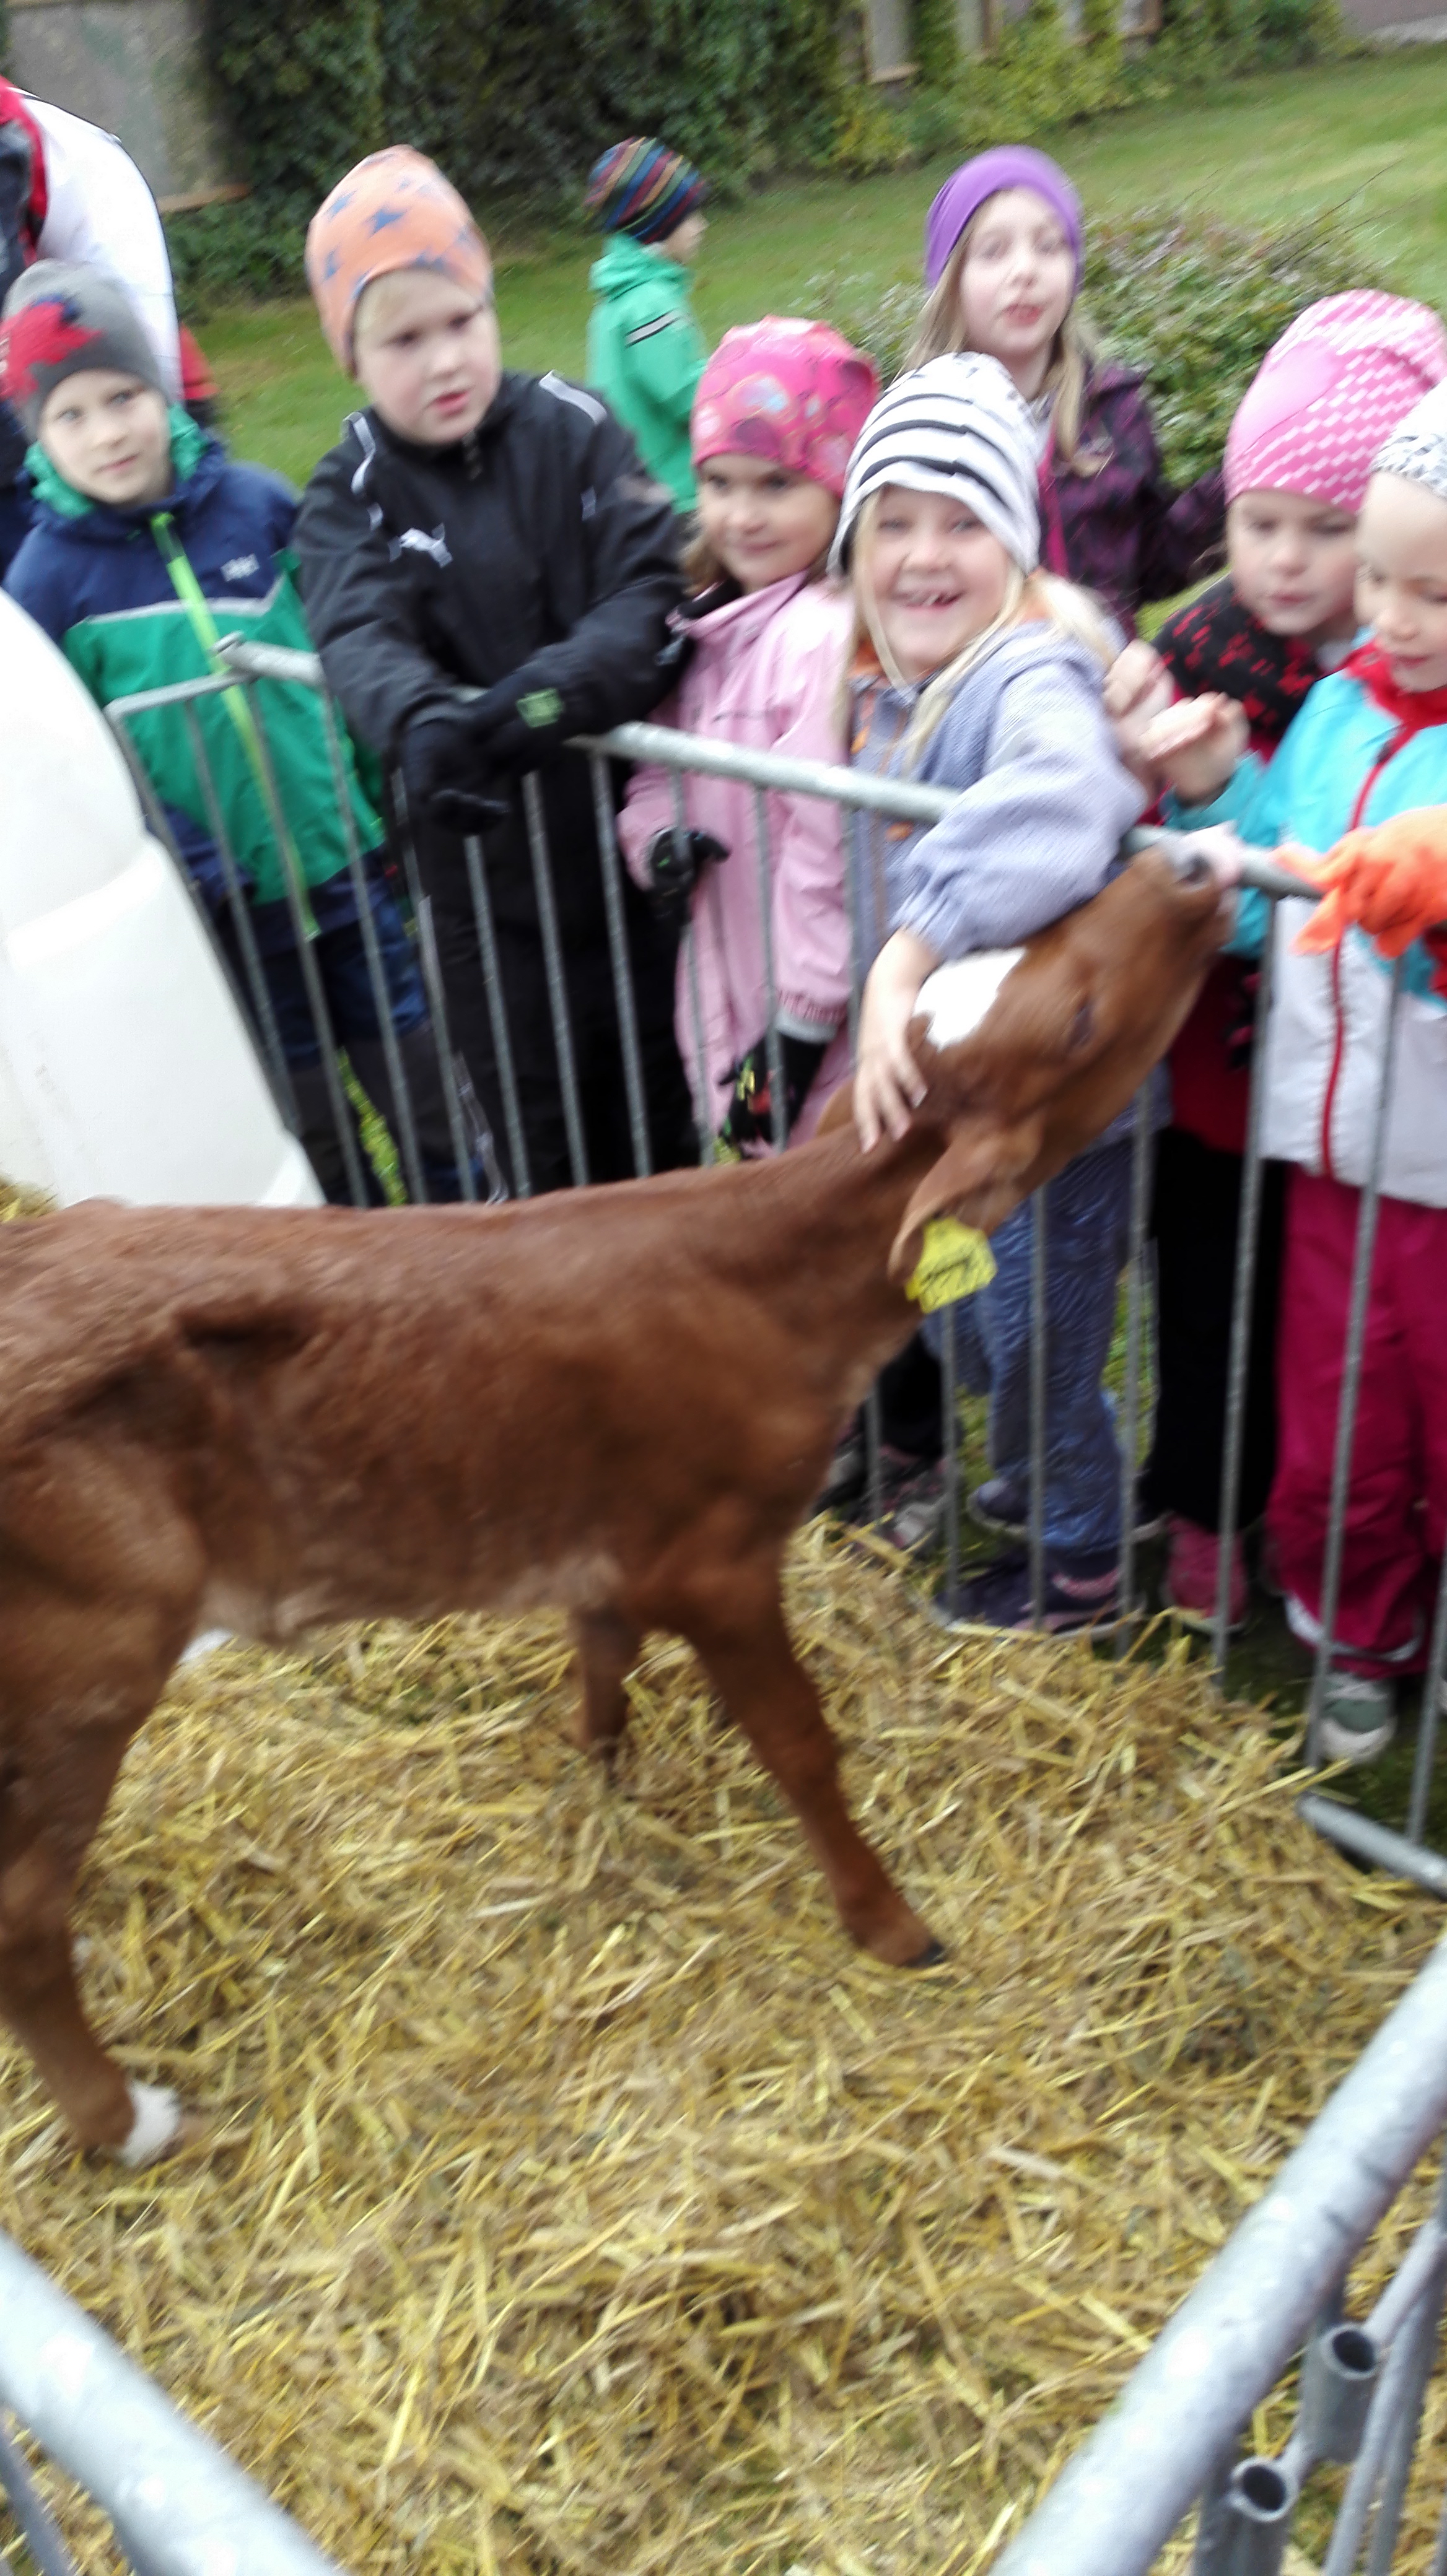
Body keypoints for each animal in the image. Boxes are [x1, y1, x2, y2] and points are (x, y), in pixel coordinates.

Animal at [0, 845, 1229, 2162]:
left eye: (1047, 922)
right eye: (1080, 1022)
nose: (1181, 861)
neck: (783, 1285)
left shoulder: (612, 1538)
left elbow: (601, 1658)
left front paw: (598, 1776)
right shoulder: (716, 1557)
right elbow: (802, 1746)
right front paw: (889, 1923)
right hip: (87, 1661)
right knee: (21, 1910)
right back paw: (124, 2120)